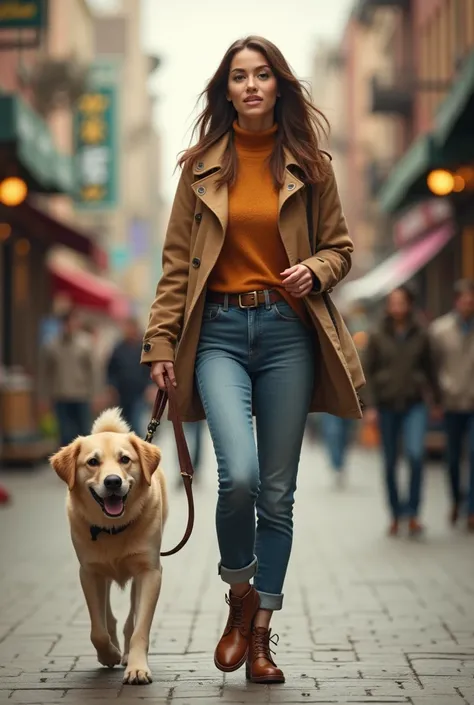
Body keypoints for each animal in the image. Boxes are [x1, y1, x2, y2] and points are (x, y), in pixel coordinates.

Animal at [50, 408, 168, 680]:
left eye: (125, 459)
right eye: (93, 462)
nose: (113, 481)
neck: (113, 528)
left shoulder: (150, 572)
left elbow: (139, 628)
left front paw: (136, 667)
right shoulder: (89, 573)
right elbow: (98, 630)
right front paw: (109, 655)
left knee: (130, 619)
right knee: (108, 618)